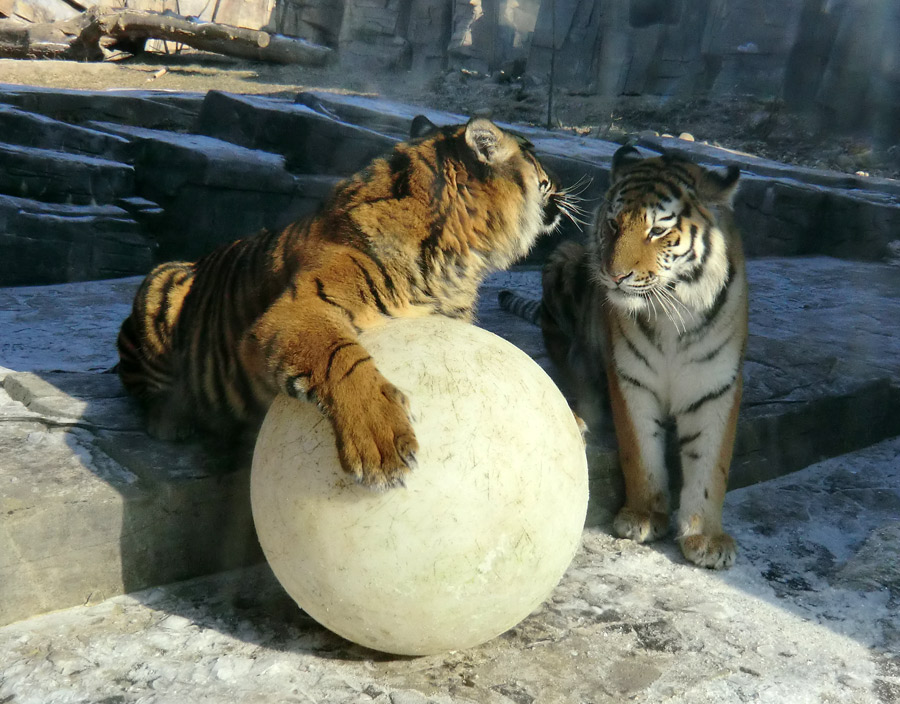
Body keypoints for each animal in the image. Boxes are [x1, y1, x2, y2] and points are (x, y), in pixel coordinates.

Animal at [118, 115, 576, 490]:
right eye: (535, 157)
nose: (563, 181)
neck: (458, 259)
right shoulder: (299, 309)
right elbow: (342, 358)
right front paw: (381, 442)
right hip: (163, 282)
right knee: (140, 386)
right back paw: (173, 420)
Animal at [500, 146, 744, 568]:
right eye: (614, 224)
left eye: (658, 231)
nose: (614, 276)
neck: (673, 311)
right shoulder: (632, 378)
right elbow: (640, 452)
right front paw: (643, 516)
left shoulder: (717, 386)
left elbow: (712, 465)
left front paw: (707, 538)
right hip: (565, 259)